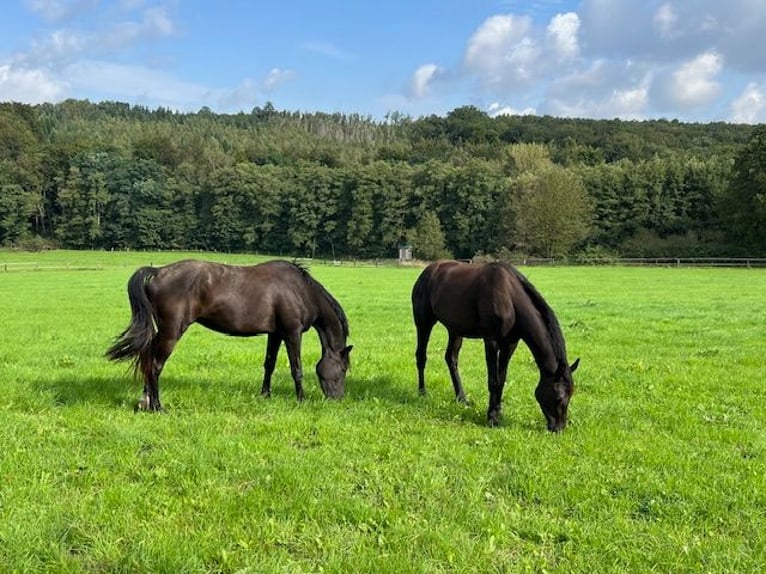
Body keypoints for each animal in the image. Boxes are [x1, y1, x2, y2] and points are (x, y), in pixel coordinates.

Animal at [107, 260, 354, 414]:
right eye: (343, 369)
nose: (338, 398)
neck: (300, 290)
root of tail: (158, 271)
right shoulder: (291, 333)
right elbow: (297, 368)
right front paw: (301, 399)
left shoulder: (275, 334)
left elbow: (269, 364)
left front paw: (265, 395)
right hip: (171, 332)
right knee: (155, 365)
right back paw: (158, 406)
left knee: (147, 359)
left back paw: (145, 401)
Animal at [412, 260, 580, 432]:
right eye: (558, 396)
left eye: (571, 393)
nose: (558, 428)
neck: (510, 299)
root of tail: (427, 271)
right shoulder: (491, 341)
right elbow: (493, 380)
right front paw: (492, 417)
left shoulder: (510, 344)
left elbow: (501, 379)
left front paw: (498, 412)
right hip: (424, 322)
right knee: (421, 356)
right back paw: (422, 392)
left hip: (455, 329)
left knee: (451, 358)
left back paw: (462, 398)